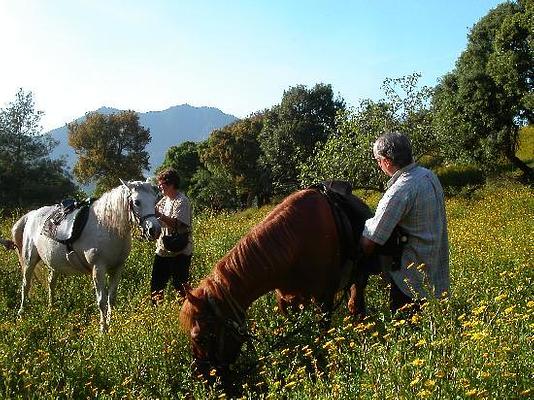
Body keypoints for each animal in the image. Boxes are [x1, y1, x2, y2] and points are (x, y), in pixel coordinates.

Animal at [11, 180, 161, 332]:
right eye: (137, 202)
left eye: (155, 200)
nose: (154, 230)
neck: (107, 226)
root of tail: (32, 214)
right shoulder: (98, 269)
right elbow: (101, 301)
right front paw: (103, 329)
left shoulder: (117, 268)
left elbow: (111, 298)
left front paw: (111, 324)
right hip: (29, 260)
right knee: (26, 285)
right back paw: (21, 314)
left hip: (53, 264)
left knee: (51, 284)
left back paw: (51, 310)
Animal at [182, 188, 384, 378]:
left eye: (199, 338)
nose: (202, 377)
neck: (295, 244)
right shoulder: (287, 301)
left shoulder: (324, 299)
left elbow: (323, 335)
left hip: (359, 277)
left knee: (356, 305)